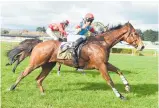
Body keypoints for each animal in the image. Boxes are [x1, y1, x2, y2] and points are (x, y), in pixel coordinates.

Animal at [9, 22, 145, 99]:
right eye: (135, 34)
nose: (142, 46)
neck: (102, 43)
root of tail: (39, 43)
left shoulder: (105, 63)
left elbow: (119, 71)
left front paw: (127, 86)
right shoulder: (100, 65)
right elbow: (110, 81)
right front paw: (120, 95)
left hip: (48, 65)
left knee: (38, 79)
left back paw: (43, 93)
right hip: (35, 63)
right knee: (23, 74)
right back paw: (11, 88)